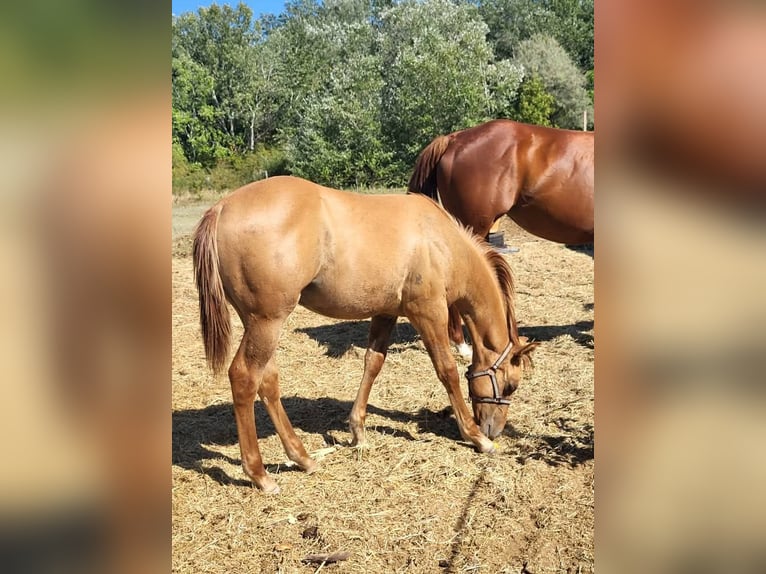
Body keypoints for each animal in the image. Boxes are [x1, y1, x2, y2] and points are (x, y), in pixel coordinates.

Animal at [193, 176, 537, 493]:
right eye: (511, 386)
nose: (494, 429)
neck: (441, 242)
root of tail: (222, 208)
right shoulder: (428, 313)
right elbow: (447, 371)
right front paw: (475, 437)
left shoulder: (386, 313)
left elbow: (373, 363)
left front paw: (357, 430)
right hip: (267, 321)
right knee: (244, 377)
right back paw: (260, 474)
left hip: (260, 323)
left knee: (267, 381)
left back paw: (302, 457)